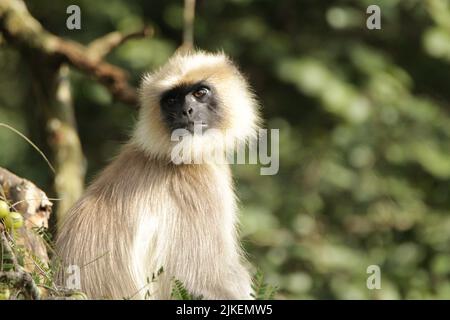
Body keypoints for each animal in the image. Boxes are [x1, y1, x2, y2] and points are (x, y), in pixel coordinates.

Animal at [55, 50, 260, 300]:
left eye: (200, 93)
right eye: (171, 101)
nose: (186, 111)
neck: (170, 157)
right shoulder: (194, 184)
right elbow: (202, 279)